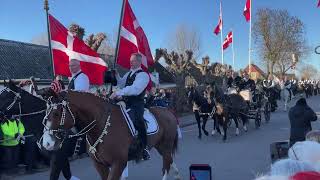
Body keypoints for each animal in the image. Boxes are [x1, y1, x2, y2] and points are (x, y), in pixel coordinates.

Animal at [37, 89, 180, 180]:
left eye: (56, 113)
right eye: (45, 113)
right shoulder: (100, 165)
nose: (46, 143)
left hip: (166, 146)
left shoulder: (118, 163)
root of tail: (168, 112)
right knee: (170, 161)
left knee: (166, 166)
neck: (101, 126)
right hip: (160, 146)